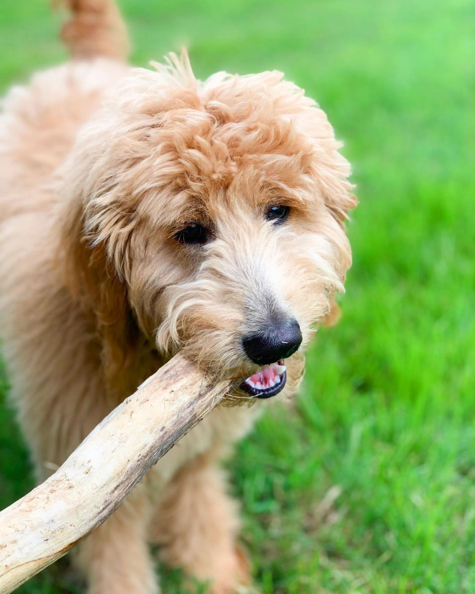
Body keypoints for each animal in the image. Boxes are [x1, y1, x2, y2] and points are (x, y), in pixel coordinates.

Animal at [0, 1, 356, 588]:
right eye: (190, 231)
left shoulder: (196, 456)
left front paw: (216, 575)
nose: (277, 341)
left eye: (277, 210)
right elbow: (117, 560)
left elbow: (198, 511)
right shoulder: (88, 472)